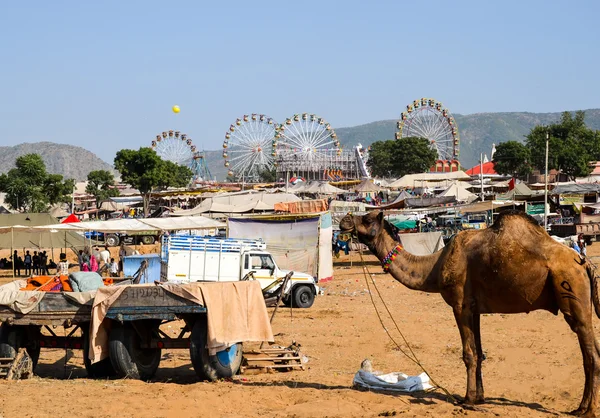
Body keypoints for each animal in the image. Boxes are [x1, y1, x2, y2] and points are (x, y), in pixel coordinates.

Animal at [340, 211, 600, 416]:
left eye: (367, 218)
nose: (344, 220)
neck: (434, 267)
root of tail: (584, 262)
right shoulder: (475, 309)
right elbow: (479, 352)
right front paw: (480, 397)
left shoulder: (460, 305)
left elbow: (468, 354)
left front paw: (467, 400)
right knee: (590, 352)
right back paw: (580, 407)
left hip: (571, 291)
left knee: (591, 354)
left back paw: (586, 410)